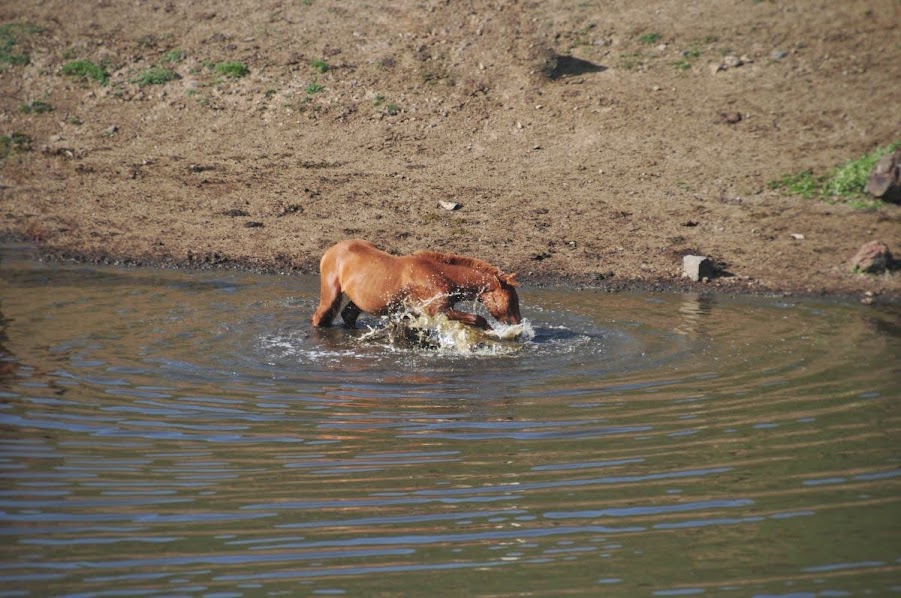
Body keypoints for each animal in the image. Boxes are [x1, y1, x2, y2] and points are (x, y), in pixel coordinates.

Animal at [312, 240, 520, 332]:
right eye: (511, 300)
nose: (517, 324)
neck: (441, 275)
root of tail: (330, 250)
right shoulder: (438, 310)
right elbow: (478, 319)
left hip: (358, 301)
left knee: (348, 316)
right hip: (331, 294)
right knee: (318, 317)